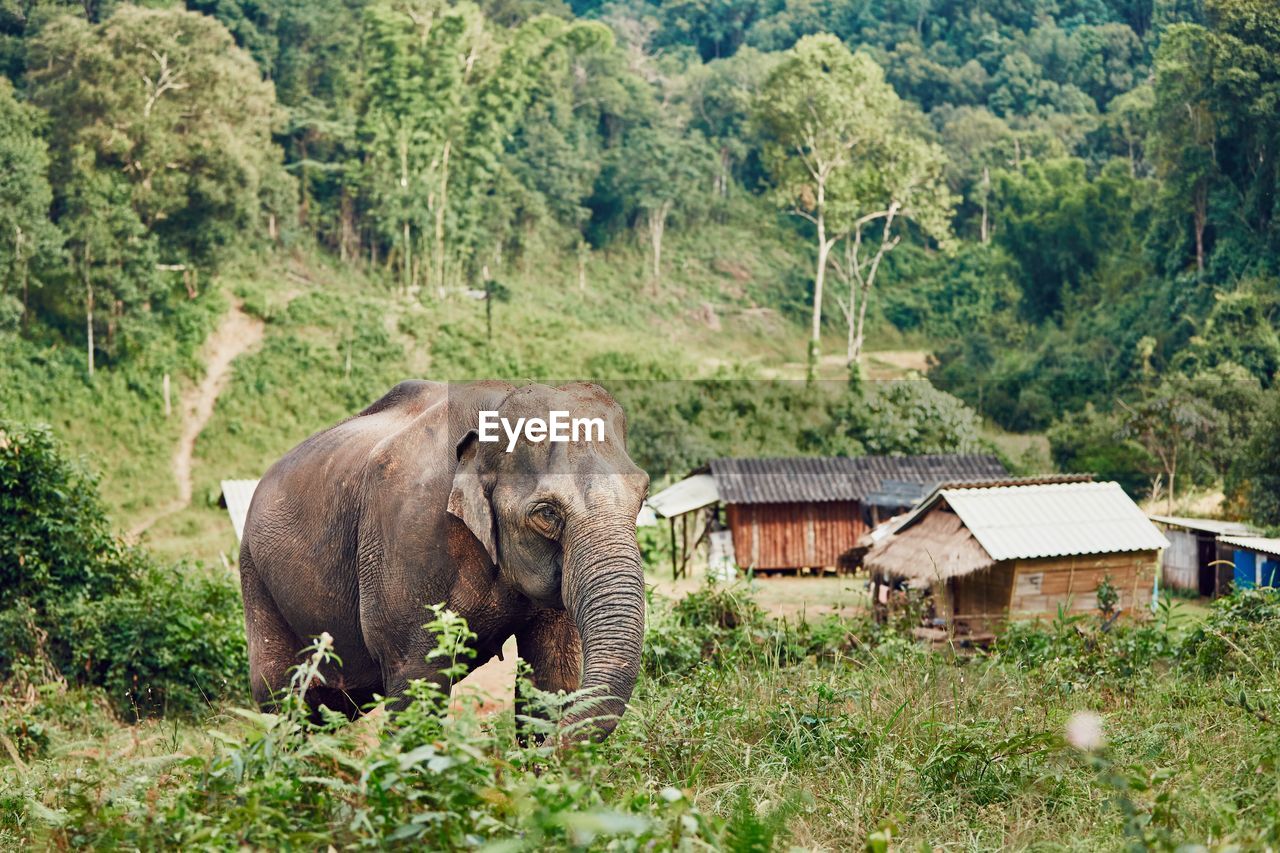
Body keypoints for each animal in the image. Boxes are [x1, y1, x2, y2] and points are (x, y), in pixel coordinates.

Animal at [238, 379, 650, 737]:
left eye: (643, 496)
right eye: (547, 513)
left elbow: (551, 672)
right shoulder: (408, 536)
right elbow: (416, 680)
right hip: (255, 575)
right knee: (281, 699)